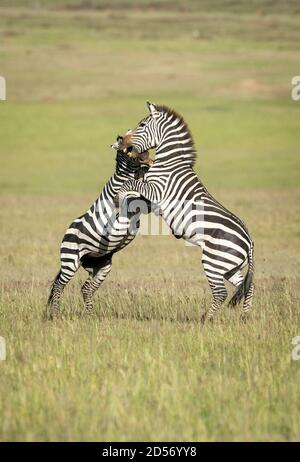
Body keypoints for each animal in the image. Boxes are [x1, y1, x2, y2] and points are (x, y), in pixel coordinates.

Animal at [47, 137, 151, 318]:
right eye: (133, 150)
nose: (150, 158)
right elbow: (135, 198)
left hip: (101, 266)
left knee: (86, 288)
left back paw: (90, 316)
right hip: (70, 260)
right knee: (59, 286)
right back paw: (56, 314)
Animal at [116, 104, 254, 322]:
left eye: (142, 125)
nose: (121, 140)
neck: (169, 164)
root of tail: (249, 242)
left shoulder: (157, 190)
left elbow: (130, 184)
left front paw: (120, 198)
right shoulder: (152, 194)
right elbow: (137, 180)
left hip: (214, 261)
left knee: (221, 293)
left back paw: (205, 320)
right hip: (230, 266)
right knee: (246, 287)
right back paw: (245, 318)